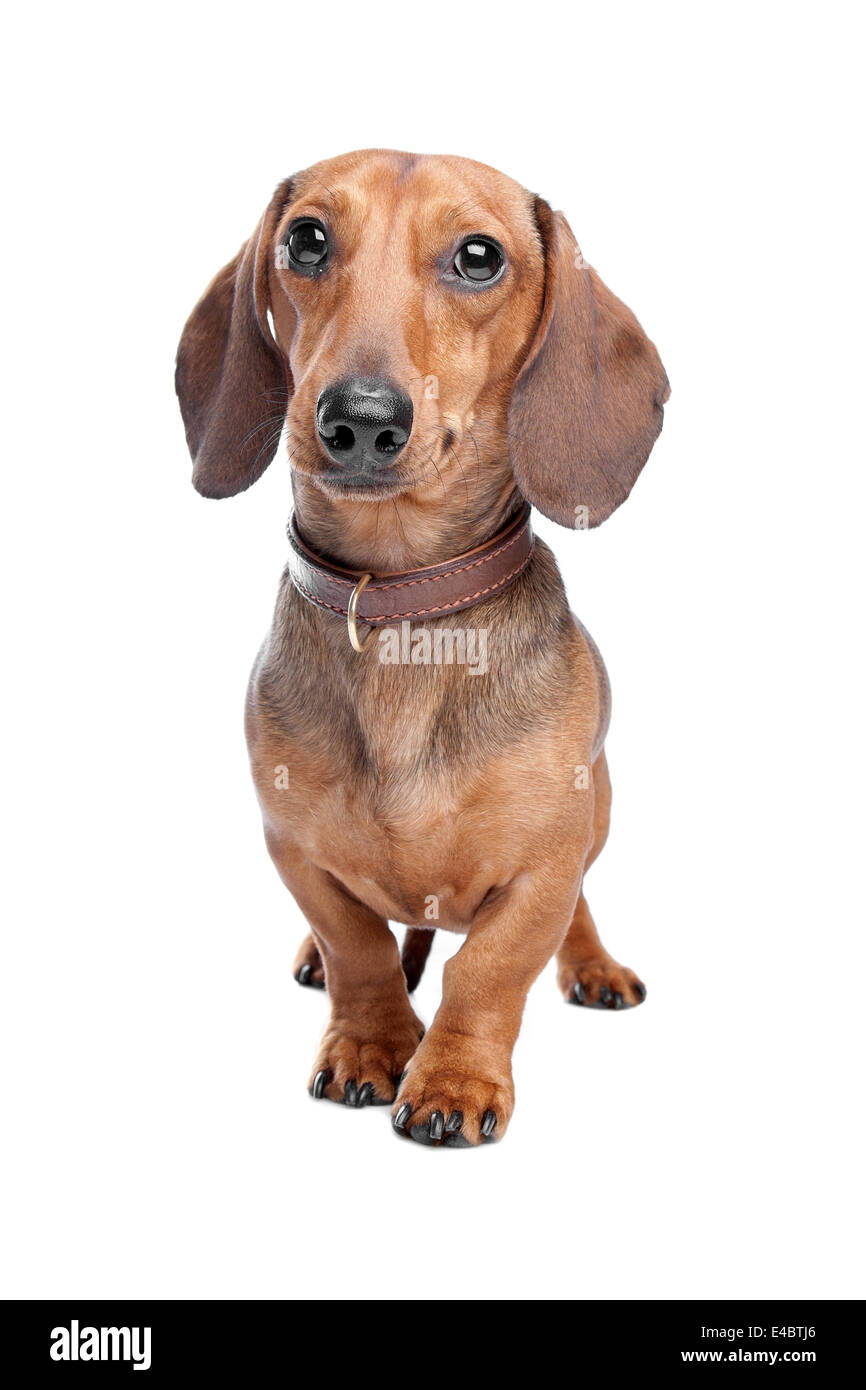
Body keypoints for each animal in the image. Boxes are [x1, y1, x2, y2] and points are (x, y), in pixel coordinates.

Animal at [176, 149, 670, 1150]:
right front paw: (370, 1042)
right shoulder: (294, 848)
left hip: (597, 816)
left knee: (575, 909)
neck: (403, 602)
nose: (361, 418)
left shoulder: (543, 867)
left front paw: (453, 1079)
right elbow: (358, 946)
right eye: (307, 239)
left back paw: (592, 963)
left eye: (479, 256)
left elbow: (489, 970)